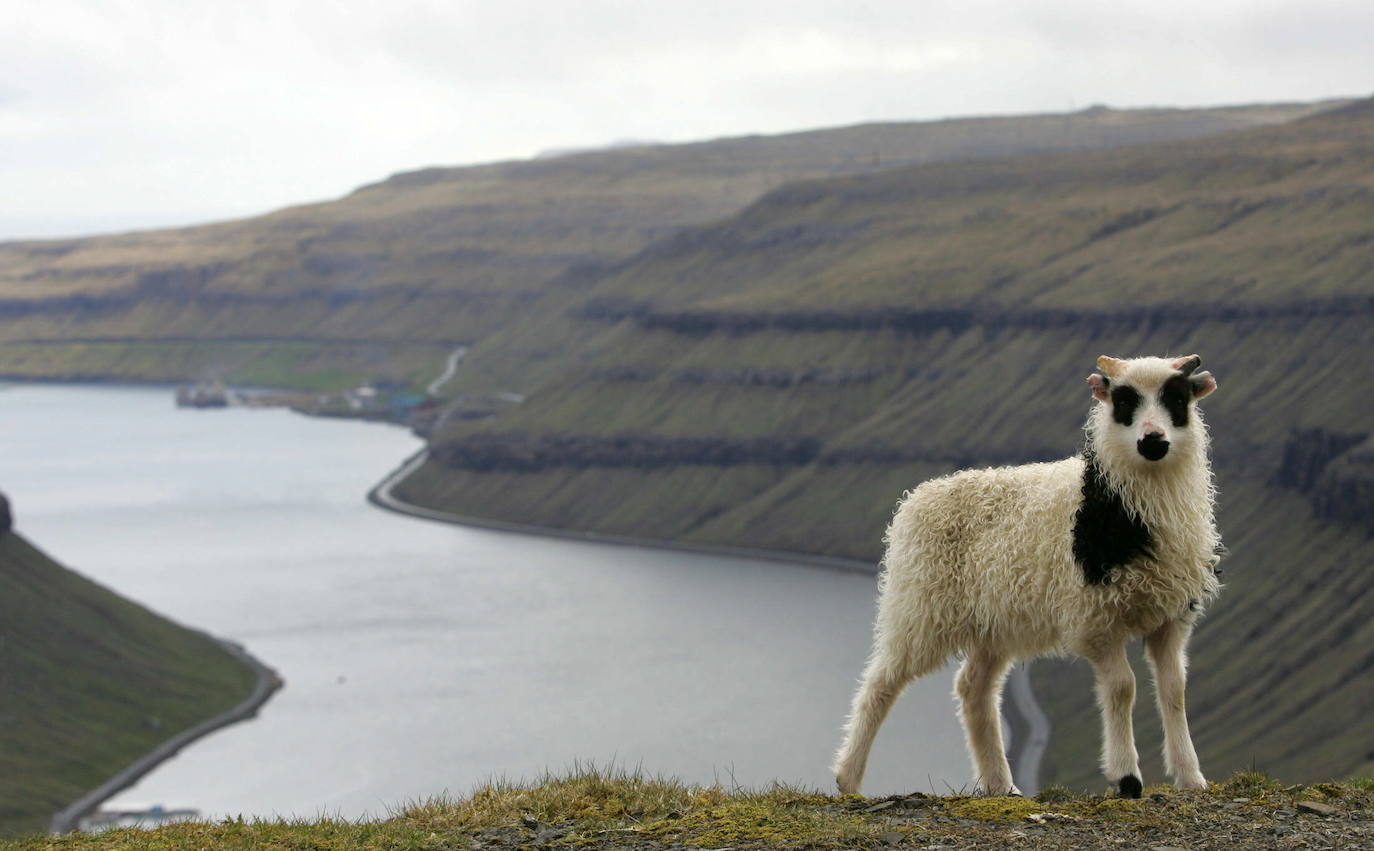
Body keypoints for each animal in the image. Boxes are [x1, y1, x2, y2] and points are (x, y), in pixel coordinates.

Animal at [829, 351, 1220, 797]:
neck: (1121, 508)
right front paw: (1126, 778)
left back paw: (1001, 784)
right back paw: (848, 777)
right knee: (881, 682)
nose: (1153, 440)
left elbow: (1174, 691)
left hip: (992, 625)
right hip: (920, 609)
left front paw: (1191, 777)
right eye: (1124, 401)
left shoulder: (1171, 618)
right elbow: (1123, 688)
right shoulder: (1095, 621)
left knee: (973, 689)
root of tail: (917, 497)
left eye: (1177, 399)